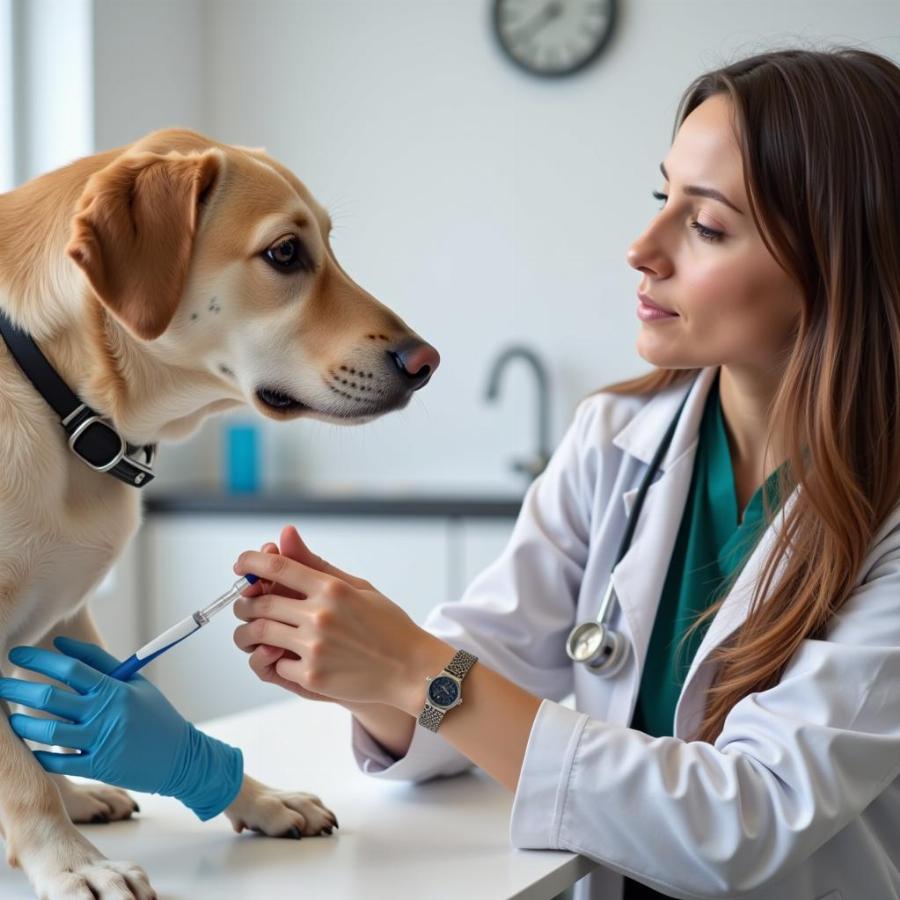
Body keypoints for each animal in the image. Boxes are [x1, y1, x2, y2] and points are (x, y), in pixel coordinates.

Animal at [0, 128, 440, 900]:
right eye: (285, 253)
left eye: (329, 244)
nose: (427, 361)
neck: (67, 405)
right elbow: (19, 772)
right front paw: (69, 861)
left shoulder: (67, 615)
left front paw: (255, 797)